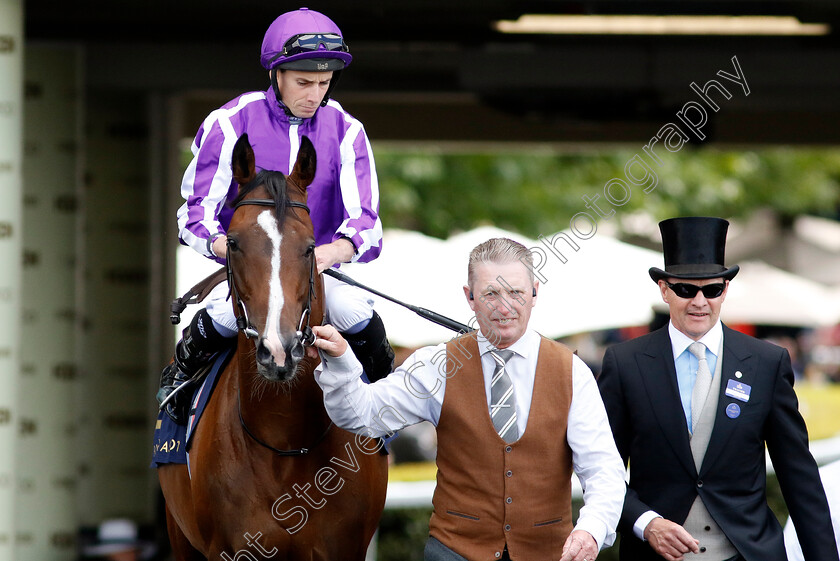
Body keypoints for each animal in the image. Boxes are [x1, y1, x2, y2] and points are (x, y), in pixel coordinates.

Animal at [159, 135, 388, 560]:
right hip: (180, 533)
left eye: (311, 247)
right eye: (233, 243)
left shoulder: (346, 547)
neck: (286, 441)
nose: (278, 351)